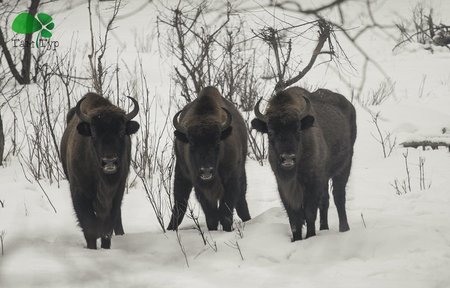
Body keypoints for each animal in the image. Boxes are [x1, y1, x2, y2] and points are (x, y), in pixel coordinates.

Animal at [60, 93, 139, 250]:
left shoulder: (116, 192)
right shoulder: (79, 192)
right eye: (94, 133)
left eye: (121, 131)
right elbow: (89, 226)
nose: (109, 161)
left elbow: (107, 227)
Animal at [168, 86, 251, 232]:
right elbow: (211, 215)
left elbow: (225, 213)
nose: (206, 171)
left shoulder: (231, 181)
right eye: (192, 144)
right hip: (181, 173)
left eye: (217, 142)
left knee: (241, 202)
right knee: (179, 203)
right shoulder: (200, 187)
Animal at [251, 87, 356, 241]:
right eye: (270, 131)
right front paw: (296, 239)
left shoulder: (313, 183)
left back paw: (344, 229)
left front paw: (310, 237)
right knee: (325, 200)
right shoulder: (284, 186)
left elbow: (309, 213)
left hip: (344, 167)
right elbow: (294, 218)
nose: (288, 158)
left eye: (298, 129)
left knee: (339, 197)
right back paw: (324, 228)